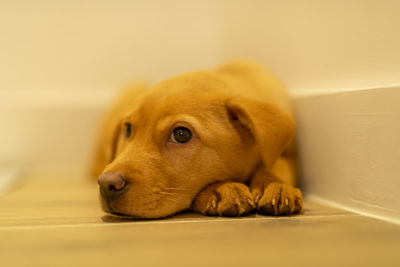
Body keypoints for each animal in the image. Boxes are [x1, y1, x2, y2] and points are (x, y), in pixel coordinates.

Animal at [91, 61, 304, 220]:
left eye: (181, 134)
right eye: (127, 129)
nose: (107, 185)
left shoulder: (287, 154)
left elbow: (277, 165)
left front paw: (276, 186)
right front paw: (222, 188)